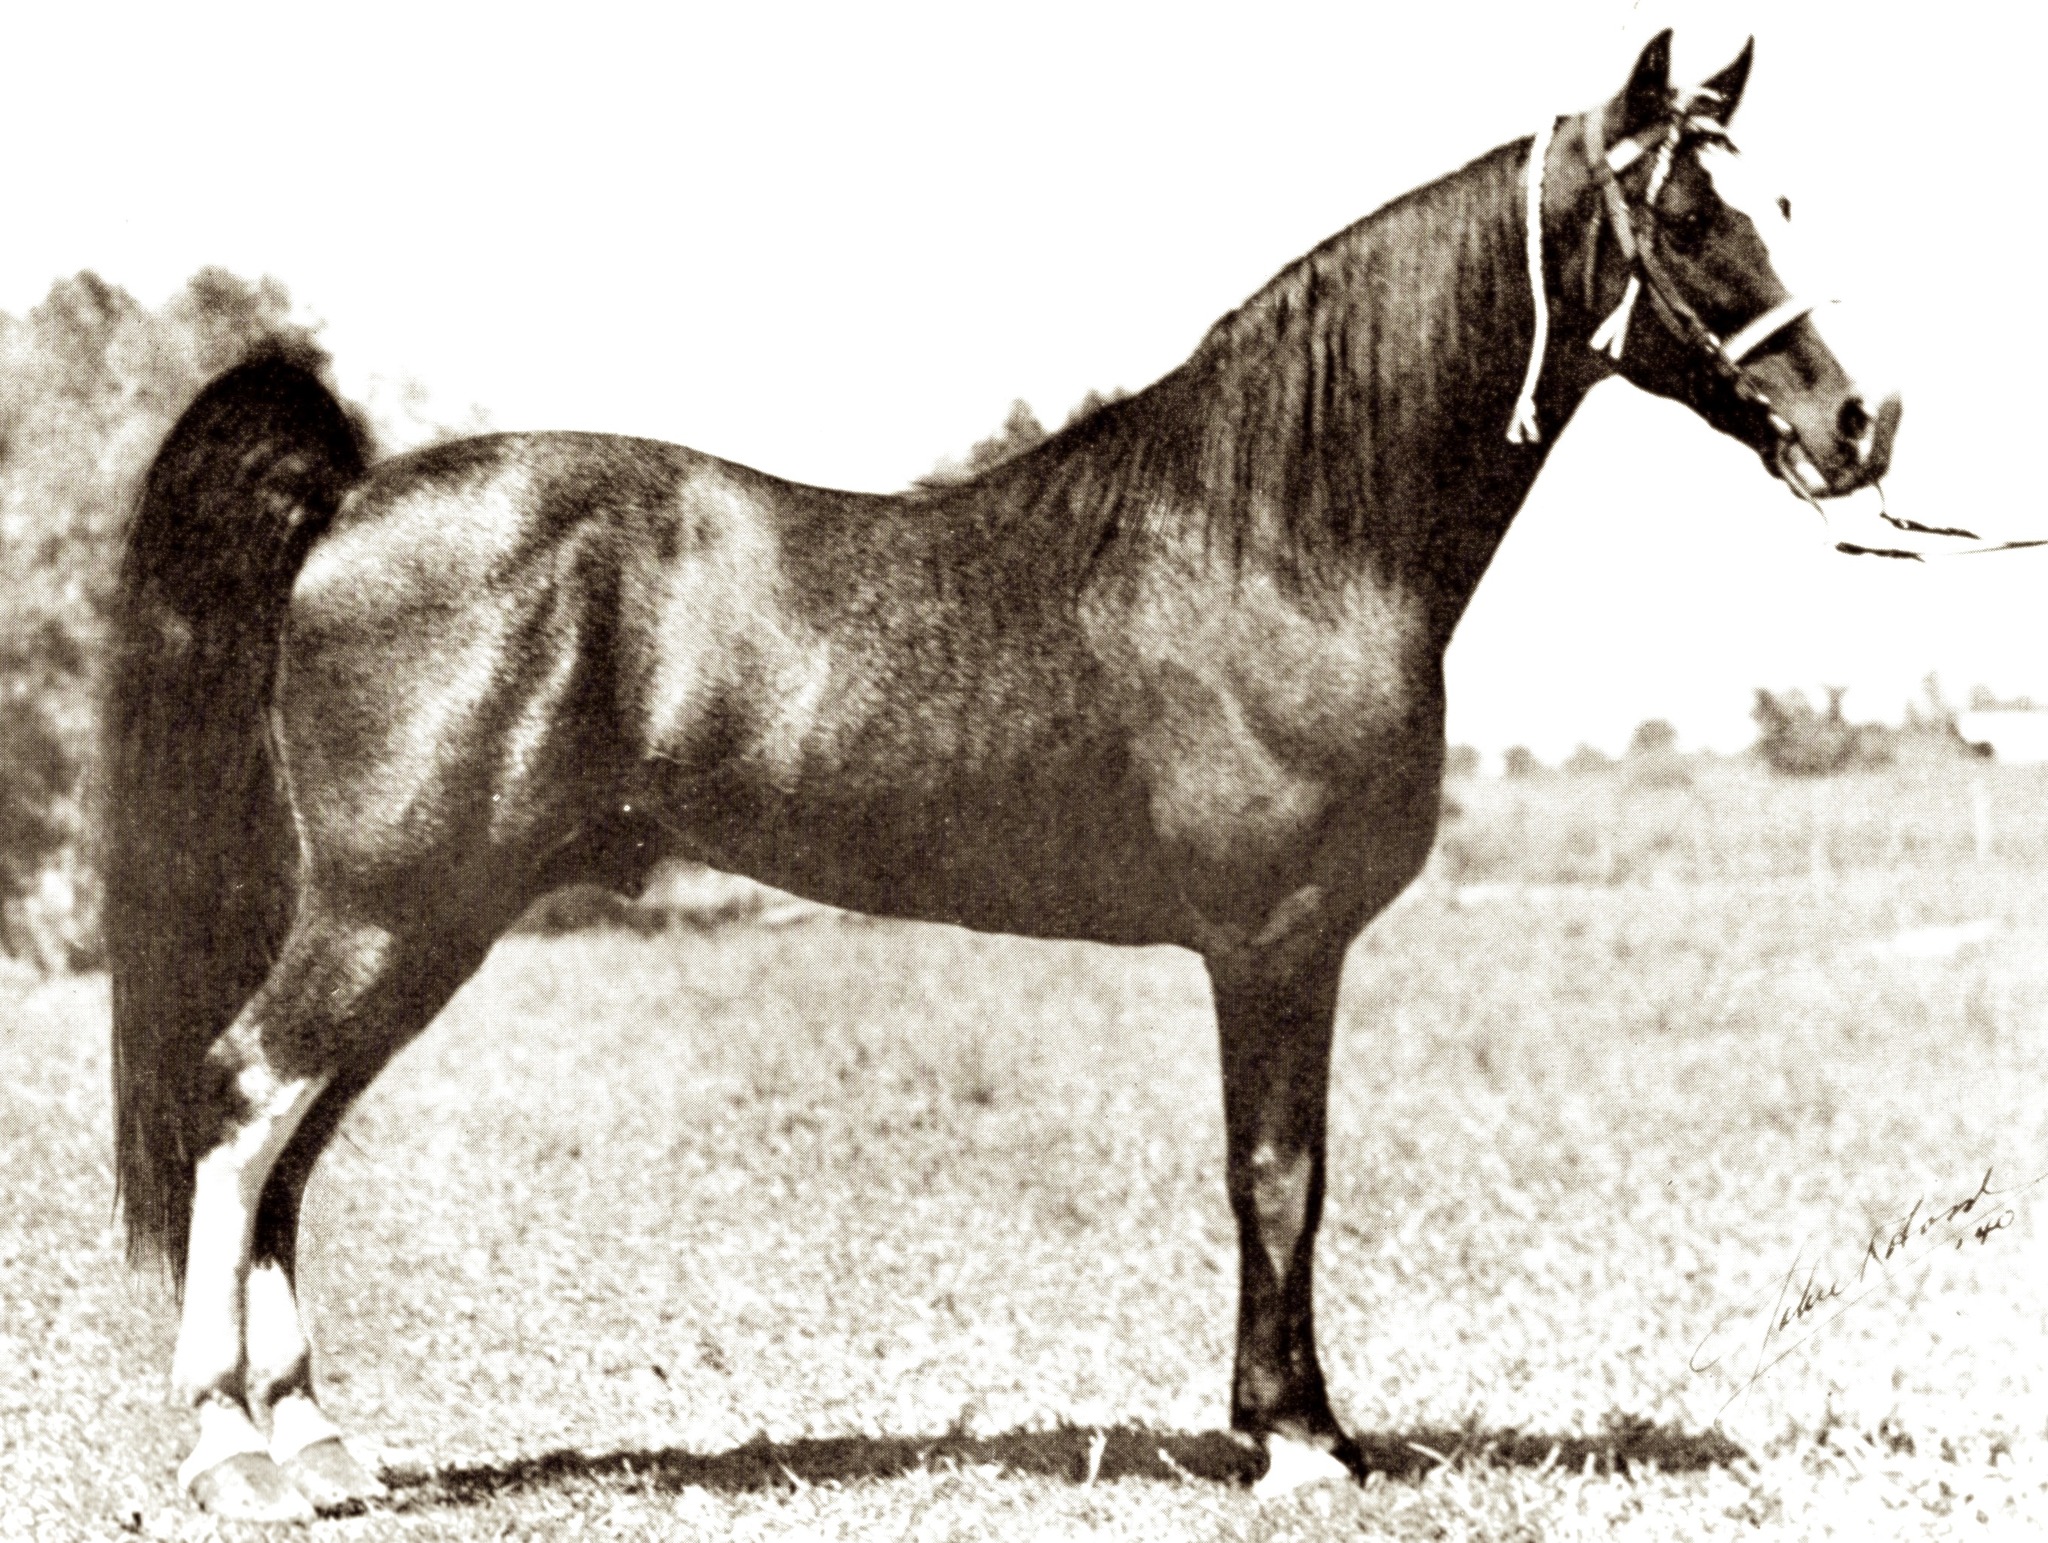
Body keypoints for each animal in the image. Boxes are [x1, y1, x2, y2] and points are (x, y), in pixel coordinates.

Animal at [103, 31, 1898, 1520]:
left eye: (1780, 197)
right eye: (1688, 218)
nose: (1856, 422)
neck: (1278, 538)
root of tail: (351, 498)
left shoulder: (1288, 949)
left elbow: (1287, 1181)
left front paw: (1304, 1424)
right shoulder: (1274, 943)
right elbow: (1278, 1180)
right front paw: (1297, 1441)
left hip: (425, 921)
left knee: (288, 1135)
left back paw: (320, 1445)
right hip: (390, 903)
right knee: (247, 1092)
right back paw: (231, 1450)